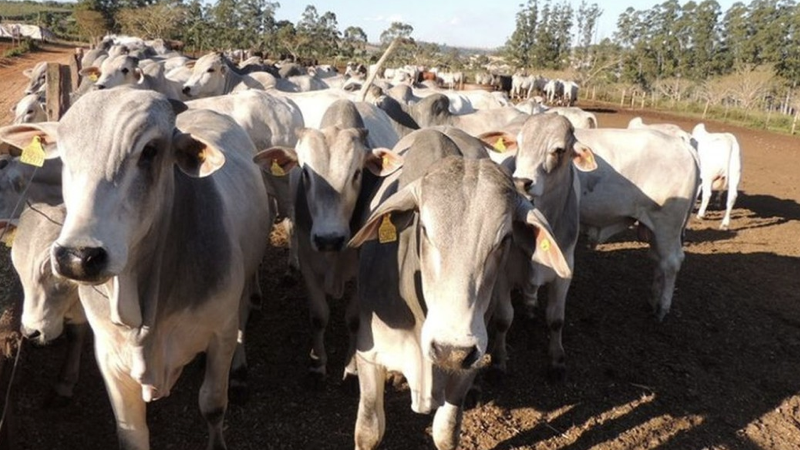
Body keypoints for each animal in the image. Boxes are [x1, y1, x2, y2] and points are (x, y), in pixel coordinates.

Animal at [253, 99, 404, 383]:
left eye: (357, 173)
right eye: (305, 172)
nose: (329, 239)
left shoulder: (360, 273)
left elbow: (354, 320)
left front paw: (351, 367)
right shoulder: (309, 263)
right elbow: (318, 316)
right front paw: (318, 363)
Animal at [348, 150, 569, 450]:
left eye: (505, 238)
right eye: (424, 229)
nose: (451, 351)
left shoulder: (464, 371)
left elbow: (447, 432)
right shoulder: (369, 356)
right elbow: (369, 431)